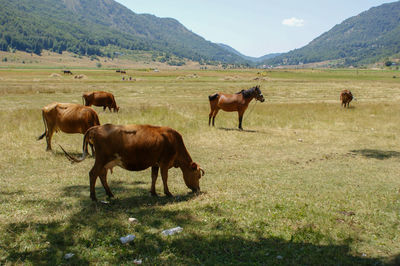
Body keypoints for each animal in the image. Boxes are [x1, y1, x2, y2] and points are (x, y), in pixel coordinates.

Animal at [61, 123, 205, 201]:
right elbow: (164, 178)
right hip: (101, 159)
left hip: (106, 162)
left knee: (102, 175)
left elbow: (154, 177)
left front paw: (153, 193)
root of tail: (97, 127)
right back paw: (94, 197)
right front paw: (168, 193)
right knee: (93, 174)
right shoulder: (164, 163)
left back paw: (110, 194)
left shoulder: (155, 163)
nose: (197, 189)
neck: (174, 141)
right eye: (197, 175)